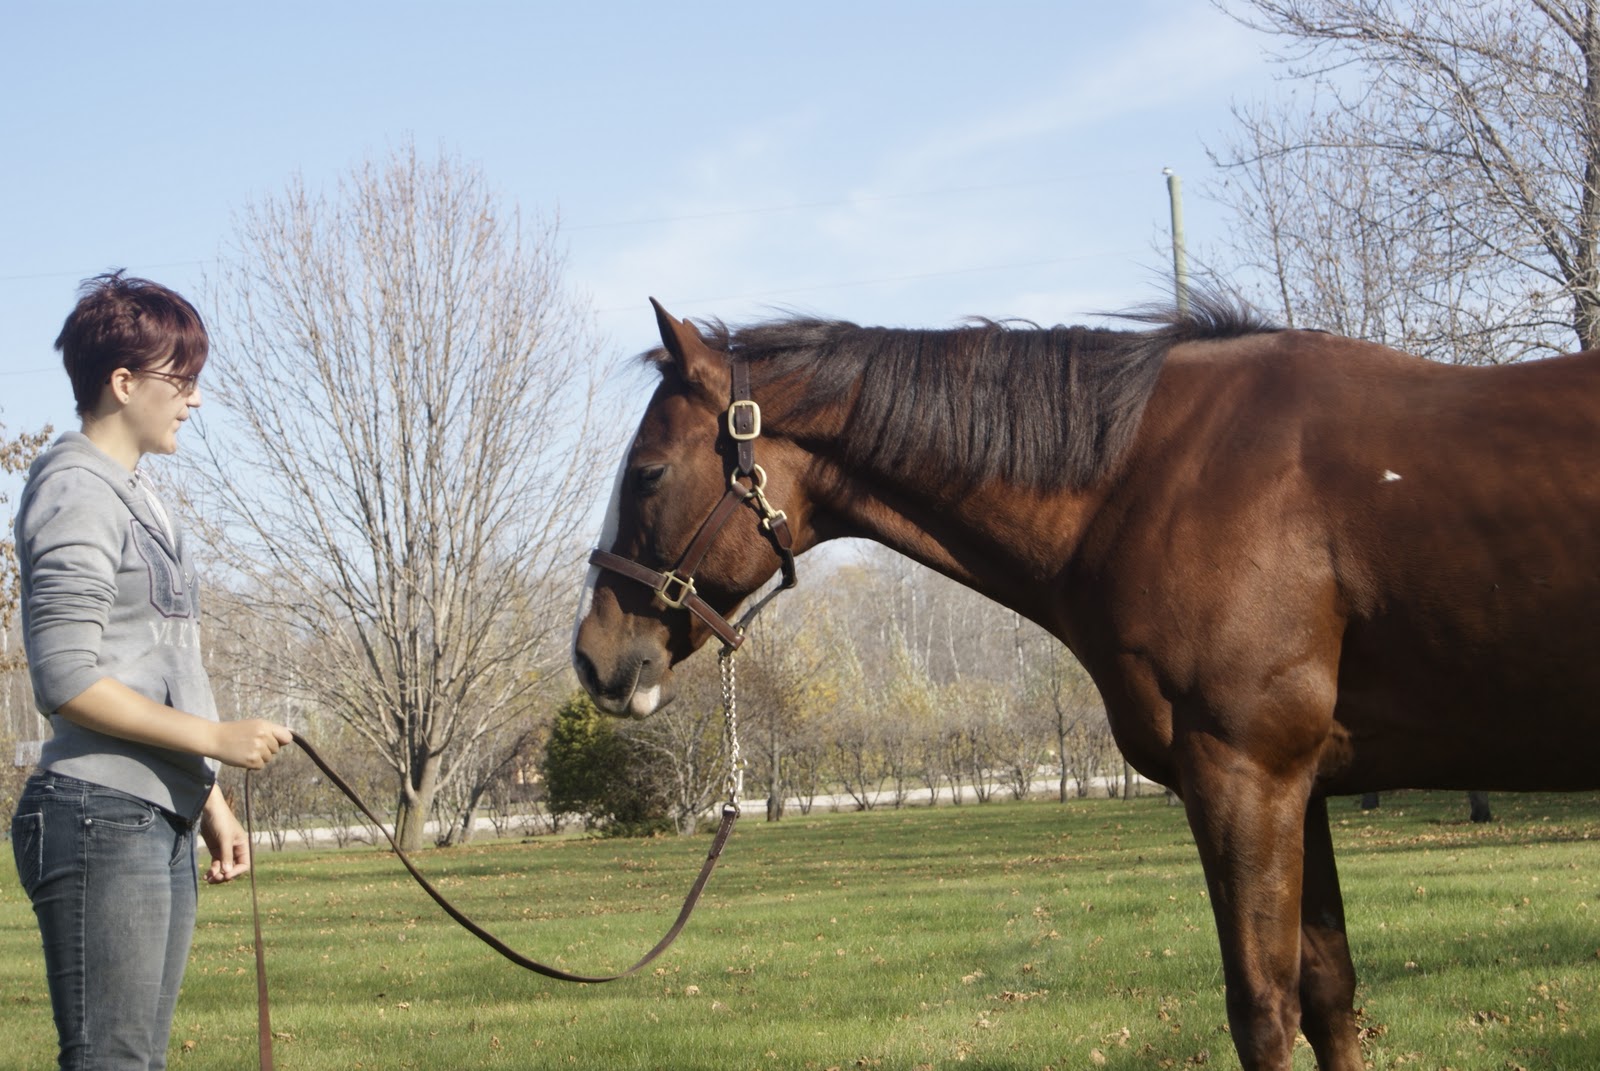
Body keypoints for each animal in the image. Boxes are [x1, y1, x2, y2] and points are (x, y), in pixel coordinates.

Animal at [570, 294, 1600, 1071]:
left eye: (649, 471)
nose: (595, 655)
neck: (1159, 475)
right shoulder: (1299, 789)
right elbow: (1330, 996)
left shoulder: (1245, 778)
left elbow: (1264, 1010)